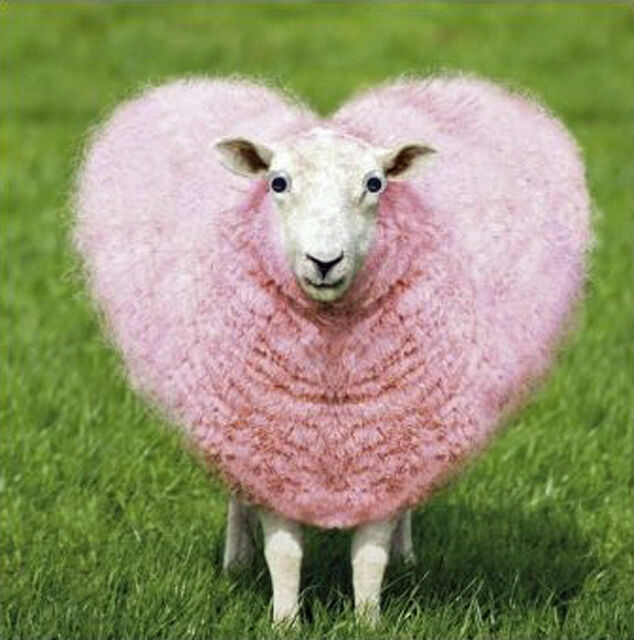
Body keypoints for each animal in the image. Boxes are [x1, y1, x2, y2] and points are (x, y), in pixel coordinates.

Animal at [74, 75, 591, 625]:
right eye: (277, 183)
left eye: (375, 183)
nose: (324, 261)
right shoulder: (273, 451)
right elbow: (284, 553)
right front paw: (284, 622)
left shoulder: (386, 451)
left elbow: (369, 556)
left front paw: (369, 621)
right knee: (236, 492)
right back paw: (236, 559)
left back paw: (407, 554)